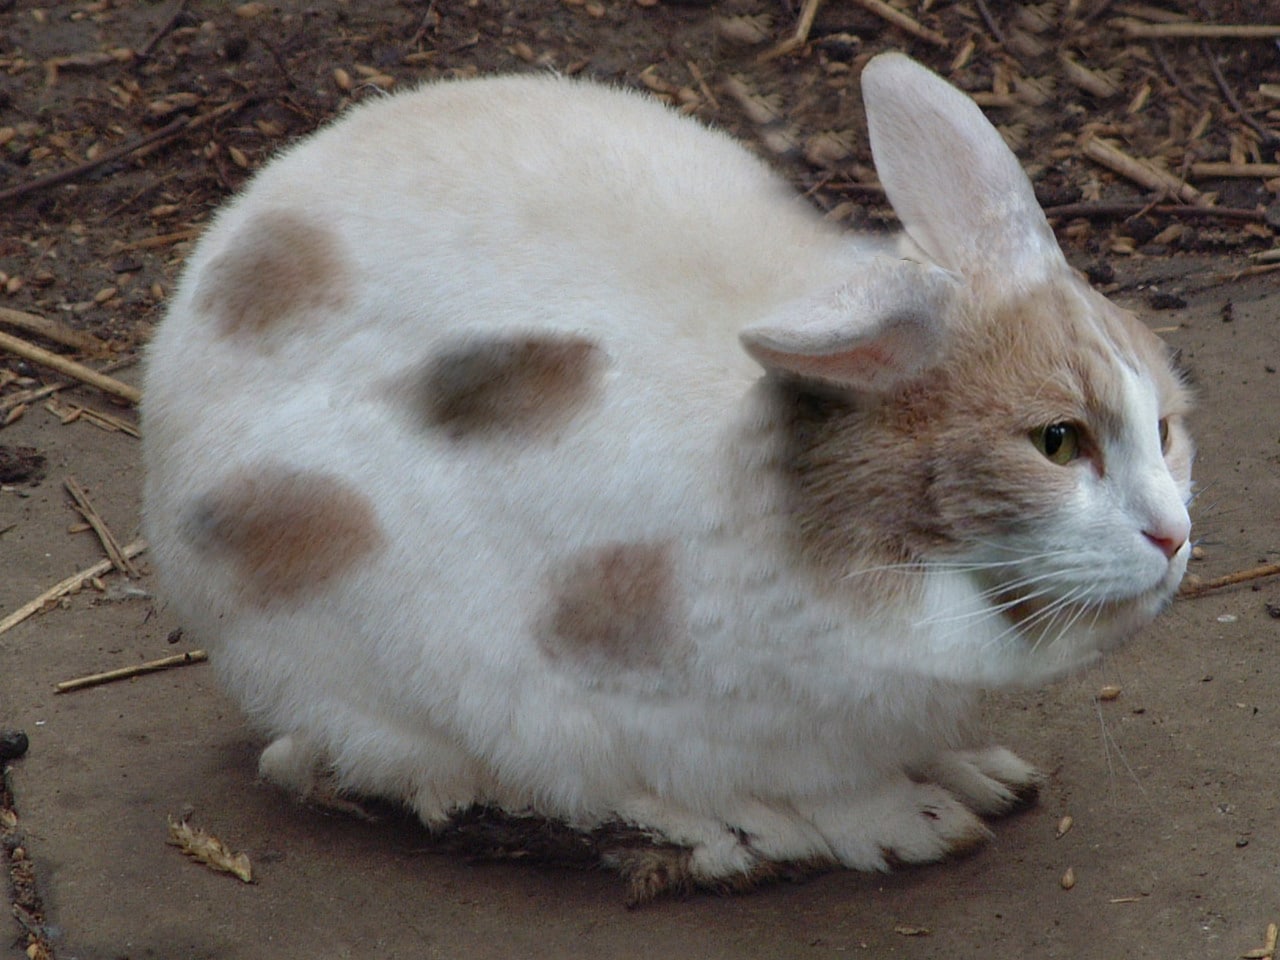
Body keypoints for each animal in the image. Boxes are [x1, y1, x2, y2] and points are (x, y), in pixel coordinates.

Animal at [141, 52, 1193, 899]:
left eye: (1165, 429)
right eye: (1056, 442)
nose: (1174, 538)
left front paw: (978, 773)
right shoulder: (676, 712)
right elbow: (820, 790)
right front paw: (910, 826)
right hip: (376, 670)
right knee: (448, 778)